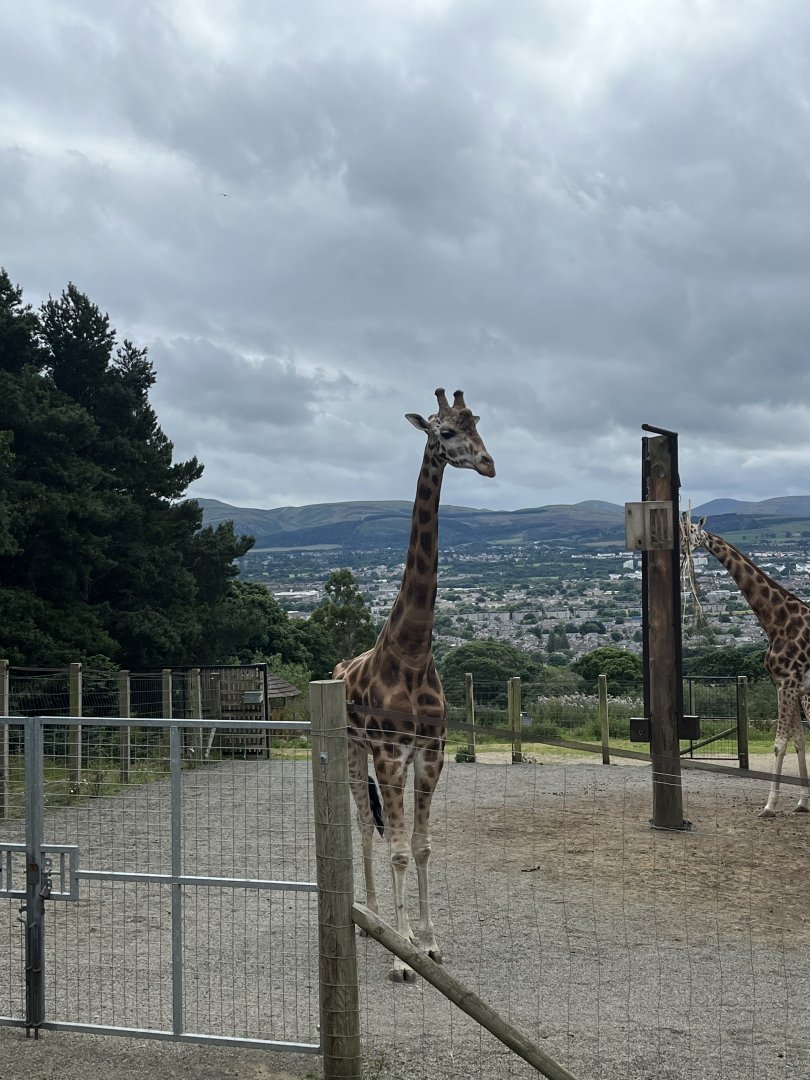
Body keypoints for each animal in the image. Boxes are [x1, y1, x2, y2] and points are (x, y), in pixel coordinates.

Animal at [333, 388, 495, 981]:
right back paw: (373, 917)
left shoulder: (431, 753)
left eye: (479, 425)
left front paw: (428, 943)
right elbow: (399, 848)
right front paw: (402, 952)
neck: (413, 650)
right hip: (352, 750)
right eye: (445, 432)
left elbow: (422, 847)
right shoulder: (387, 752)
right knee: (362, 822)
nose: (489, 464)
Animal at [682, 515, 810, 817]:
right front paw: (801, 803)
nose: (681, 548)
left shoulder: (789, 683)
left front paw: (769, 805)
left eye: (691, 531)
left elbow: (779, 745)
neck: (775, 622)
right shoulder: (786, 685)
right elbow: (798, 742)